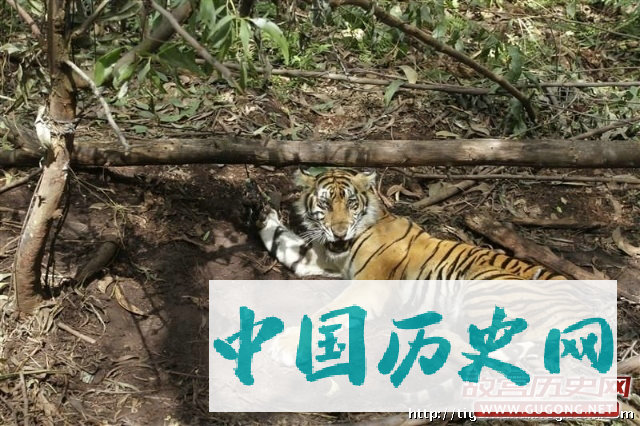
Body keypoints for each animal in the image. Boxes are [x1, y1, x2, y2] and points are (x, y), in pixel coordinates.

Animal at [257, 168, 566, 281]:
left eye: (351, 204)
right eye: (325, 204)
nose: (339, 231)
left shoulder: (370, 282)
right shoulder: (316, 259)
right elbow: (279, 237)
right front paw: (258, 207)